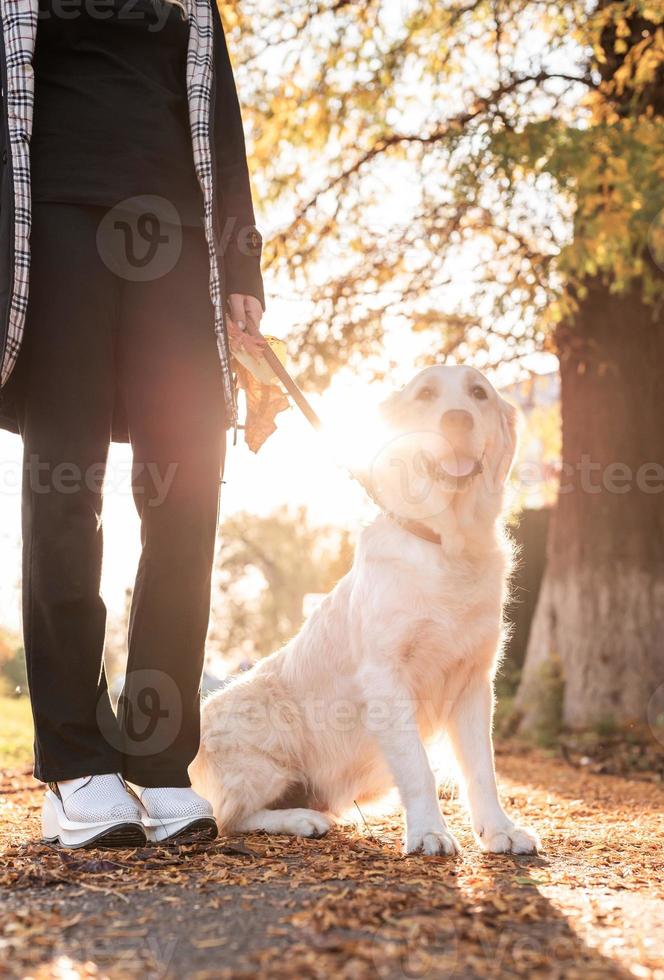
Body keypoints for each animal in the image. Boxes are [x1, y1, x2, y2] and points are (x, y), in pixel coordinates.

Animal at [192, 364, 540, 852]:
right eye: (425, 394)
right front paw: (430, 831)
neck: (445, 545)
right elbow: (418, 766)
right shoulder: (385, 674)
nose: (457, 420)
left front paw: (500, 830)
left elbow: (482, 770)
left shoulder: (474, 681)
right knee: (229, 818)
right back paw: (302, 819)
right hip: (263, 735)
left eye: (479, 393)